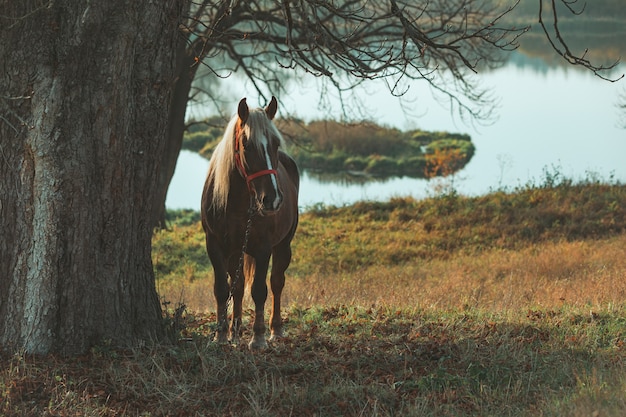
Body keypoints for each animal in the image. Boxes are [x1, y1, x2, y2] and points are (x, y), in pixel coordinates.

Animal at [200, 95, 298, 348]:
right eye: (246, 145)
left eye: (275, 144)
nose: (272, 199)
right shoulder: (214, 246)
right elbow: (222, 289)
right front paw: (221, 335)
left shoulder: (263, 249)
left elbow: (260, 290)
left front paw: (258, 337)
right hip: (235, 250)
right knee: (238, 286)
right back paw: (235, 331)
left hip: (283, 245)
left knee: (277, 282)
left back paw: (276, 329)